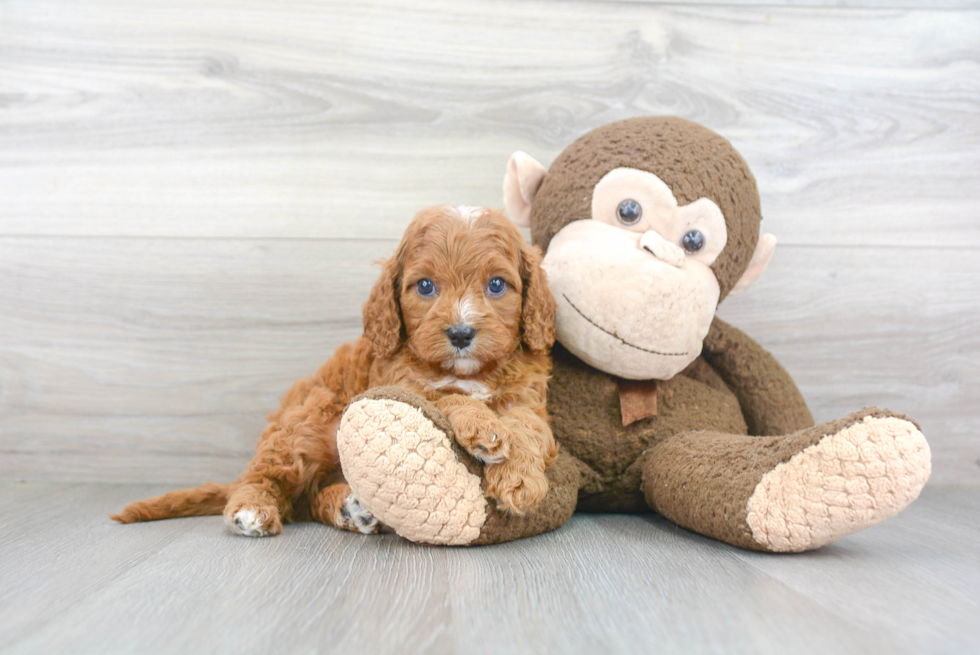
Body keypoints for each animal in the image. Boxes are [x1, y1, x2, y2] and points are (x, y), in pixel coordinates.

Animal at [110, 206, 556, 540]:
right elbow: (444, 395)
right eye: (426, 287)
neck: (468, 371)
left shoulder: (528, 396)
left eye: (496, 285)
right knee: (270, 479)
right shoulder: (396, 383)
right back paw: (253, 508)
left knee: (309, 499)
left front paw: (519, 479)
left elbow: (527, 427)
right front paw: (482, 426)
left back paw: (351, 508)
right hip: (311, 420)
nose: (461, 334)